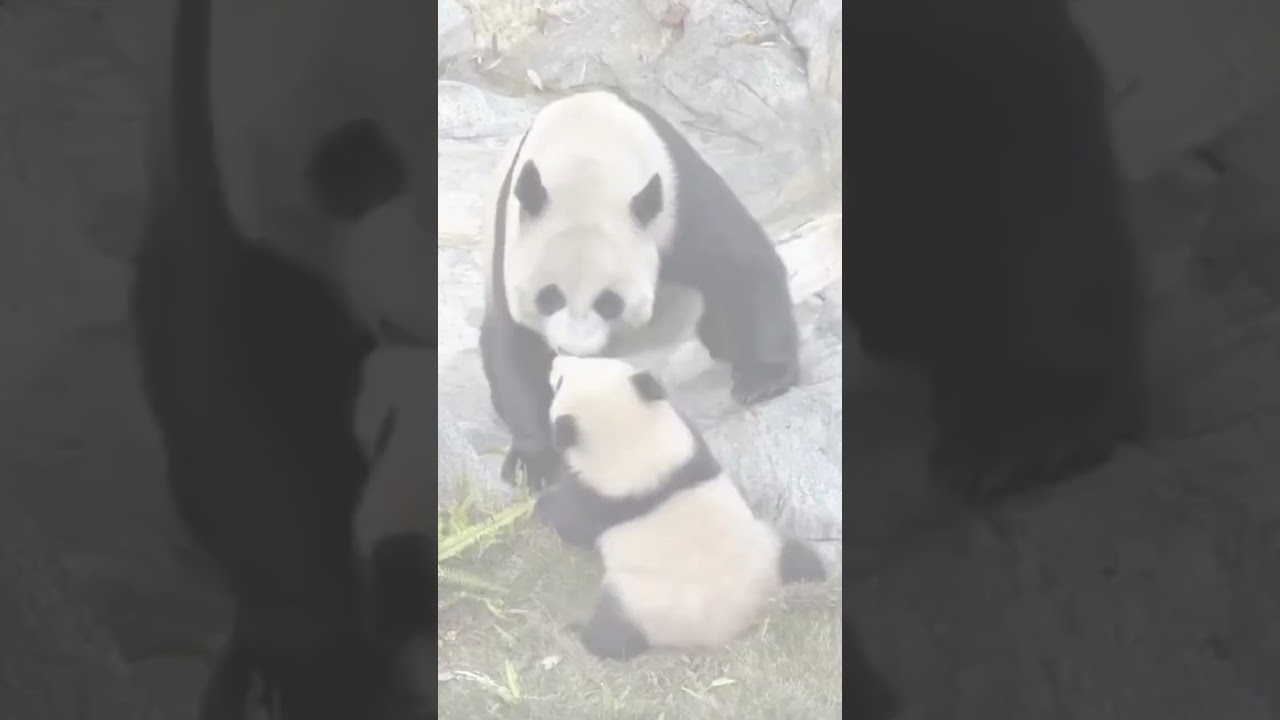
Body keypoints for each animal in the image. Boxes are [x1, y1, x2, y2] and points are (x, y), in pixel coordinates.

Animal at [482, 89, 802, 491]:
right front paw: (532, 461)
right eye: (549, 297)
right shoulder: (512, 240)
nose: (575, 352)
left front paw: (763, 379)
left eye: (609, 303)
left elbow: (744, 264)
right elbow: (514, 342)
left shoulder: (680, 198)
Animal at [534, 356, 900, 717]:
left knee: (614, 635)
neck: (636, 448)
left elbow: (572, 521)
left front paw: (543, 504)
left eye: (562, 381)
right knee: (801, 559)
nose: (554, 360)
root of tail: (727, 626)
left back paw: (583, 634)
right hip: (769, 550)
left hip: (641, 603)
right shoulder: (690, 448)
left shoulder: (599, 498)